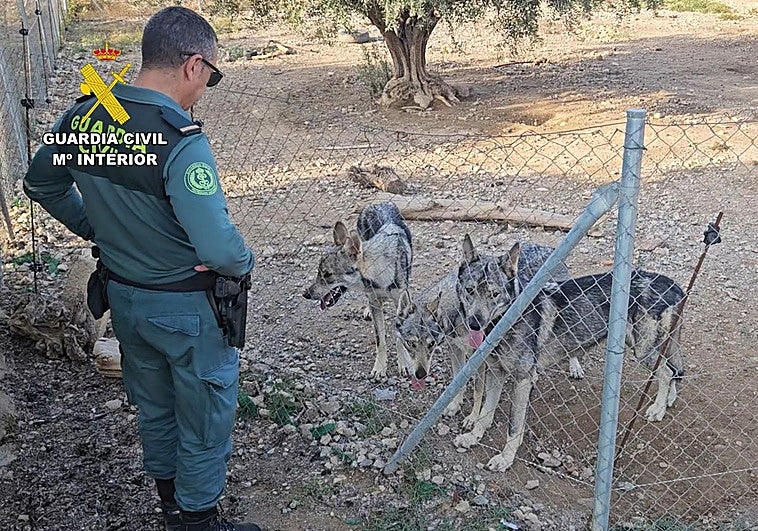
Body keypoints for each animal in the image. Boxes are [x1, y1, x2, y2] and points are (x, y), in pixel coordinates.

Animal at [303, 202, 413, 379]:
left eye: (327, 275)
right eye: (319, 273)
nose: (305, 294)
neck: (380, 275)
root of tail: (379, 203)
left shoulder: (400, 302)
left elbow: (399, 336)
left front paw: (404, 364)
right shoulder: (374, 299)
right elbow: (380, 340)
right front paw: (380, 368)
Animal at [395, 240, 576, 429]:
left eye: (430, 344)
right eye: (411, 344)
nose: (420, 374)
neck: (457, 312)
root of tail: (545, 247)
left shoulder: (478, 358)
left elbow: (478, 390)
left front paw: (473, 418)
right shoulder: (456, 349)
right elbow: (457, 382)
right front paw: (455, 405)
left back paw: (575, 367)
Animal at [454, 234, 685, 471]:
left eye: (494, 294)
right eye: (470, 290)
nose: (474, 324)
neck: (507, 319)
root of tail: (673, 283)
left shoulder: (522, 379)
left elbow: (514, 426)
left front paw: (505, 458)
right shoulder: (496, 372)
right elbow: (485, 413)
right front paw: (473, 437)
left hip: (642, 350)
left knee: (667, 372)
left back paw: (658, 409)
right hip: (647, 346)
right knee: (675, 369)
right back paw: (668, 400)